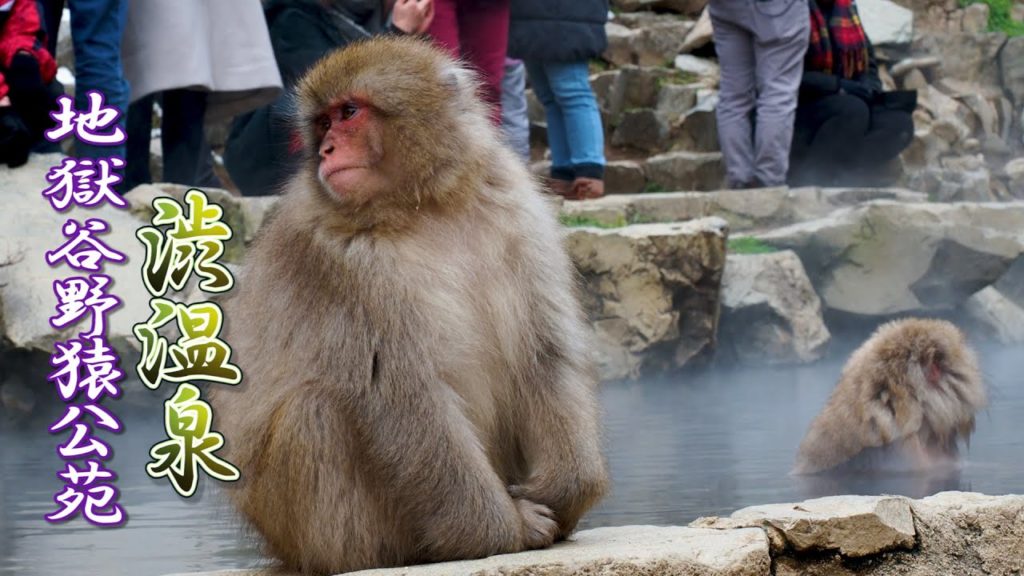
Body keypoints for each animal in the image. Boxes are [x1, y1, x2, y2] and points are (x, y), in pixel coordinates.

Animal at [209, 36, 609, 576]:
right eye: (322, 124)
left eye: (348, 112)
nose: (327, 150)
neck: (425, 207)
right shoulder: (341, 264)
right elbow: (403, 392)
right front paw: (505, 531)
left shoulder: (518, 210)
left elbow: (543, 351)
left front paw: (567, 490)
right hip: (308, 530)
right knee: (314, 411)